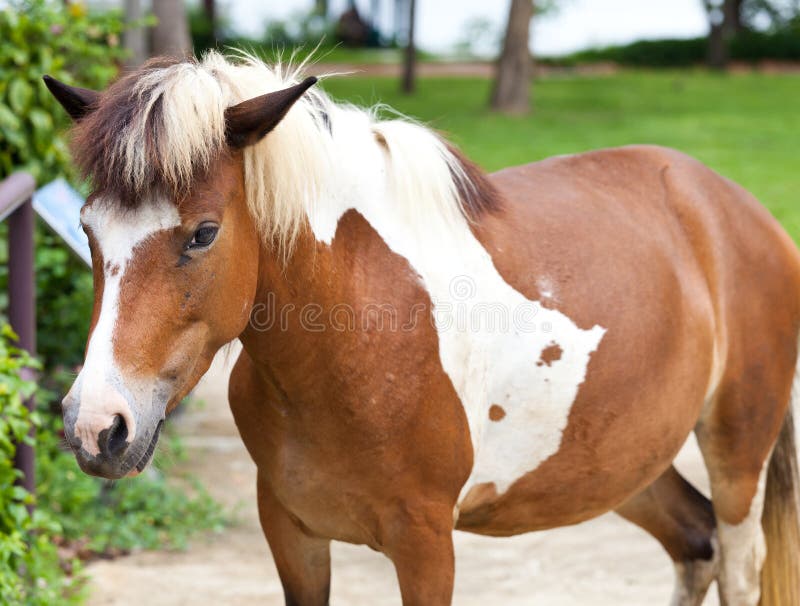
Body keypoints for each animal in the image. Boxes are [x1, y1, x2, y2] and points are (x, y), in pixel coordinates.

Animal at [44, 53, 800, 606]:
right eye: (86, 225)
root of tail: (738, 210)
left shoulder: (427, 544)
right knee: (694, 542)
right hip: (622, 459)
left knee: (735, 561)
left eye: (202, 233)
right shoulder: (289, 533)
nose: (97, 426)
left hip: (737, 453)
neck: (352, 341)